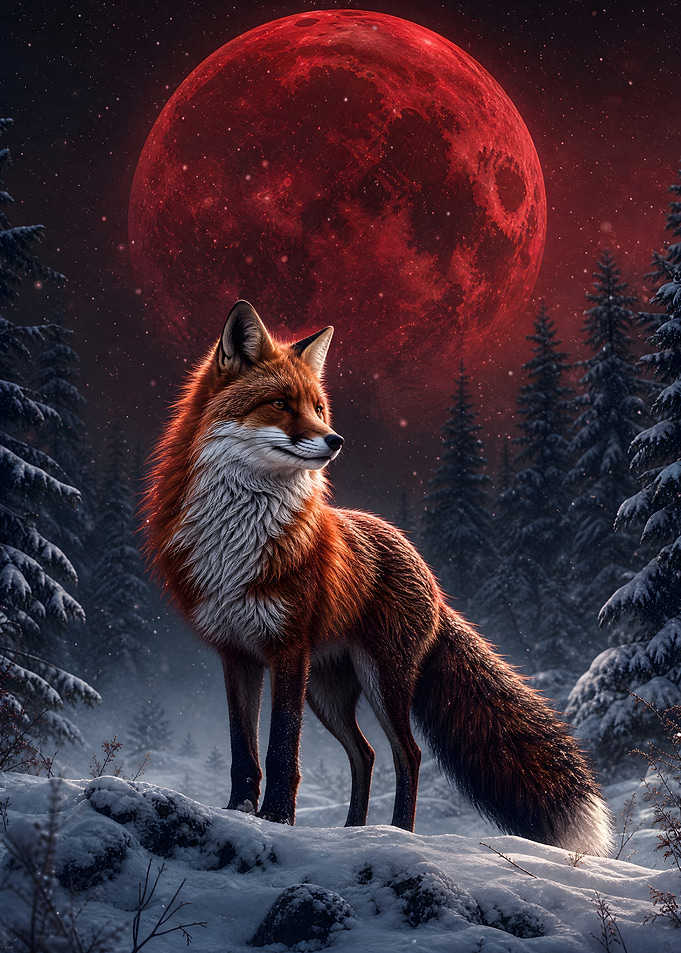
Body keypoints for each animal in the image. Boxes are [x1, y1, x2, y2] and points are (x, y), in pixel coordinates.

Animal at [143, 298, 613, 854]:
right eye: (280, 404)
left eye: (319, 408)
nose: (335, 440)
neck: (237, 536)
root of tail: (425, 569)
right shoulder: (236, 653)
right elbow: (245, 753)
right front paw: (240, 812)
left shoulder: (287, 649)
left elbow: (282, 752)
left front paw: (277, 818)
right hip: (327, 690)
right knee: (364, 753)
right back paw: (353, 831)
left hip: (381, 677)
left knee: (406, 753)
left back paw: (400, 833)